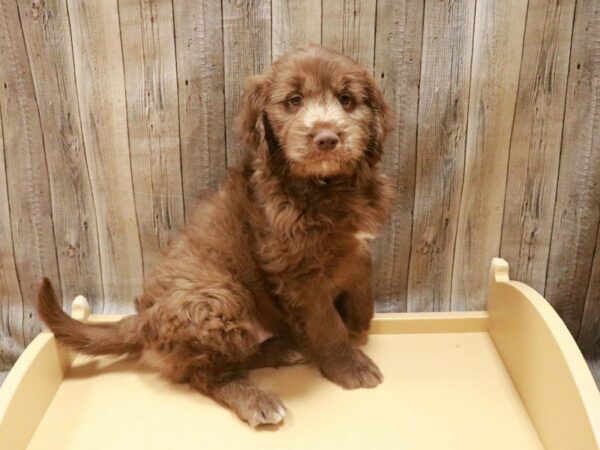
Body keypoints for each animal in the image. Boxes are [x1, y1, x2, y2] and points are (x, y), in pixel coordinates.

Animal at [37, 46, 394, 428]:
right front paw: (349, 365)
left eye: (346, 100)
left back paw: (279, 349)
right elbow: (325, 322)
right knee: (205, 372)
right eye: (294, 100)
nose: (327, 138)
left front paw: (360, 323)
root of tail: (143, 322)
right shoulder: (297, 273)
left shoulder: (356, 248)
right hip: (215, 297)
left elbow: (360, 285)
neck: (325, 187)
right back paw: (256, 399)